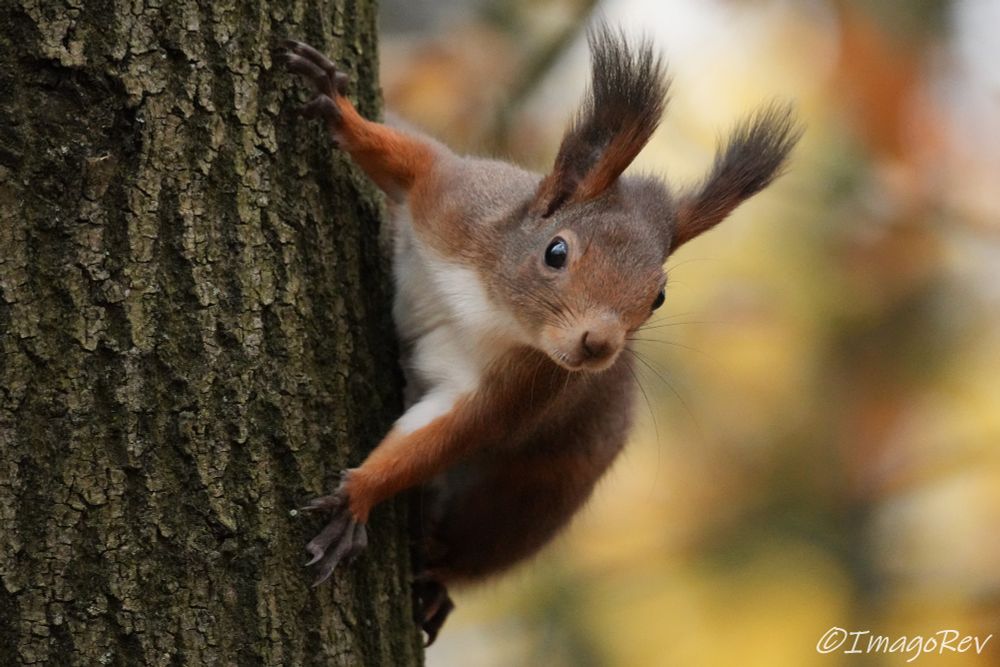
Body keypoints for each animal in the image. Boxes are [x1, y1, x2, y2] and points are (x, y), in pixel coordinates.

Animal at [284, 23, 800, 645]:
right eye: (556, 252)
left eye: (658, 296)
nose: (598, 345)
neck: (493, 308)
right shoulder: (455, 203)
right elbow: (410, 162)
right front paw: (339, 109)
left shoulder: (525, 386)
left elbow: (446, 435)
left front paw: (358, 496)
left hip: (529, 498)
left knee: (474, 545)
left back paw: (438, 583)